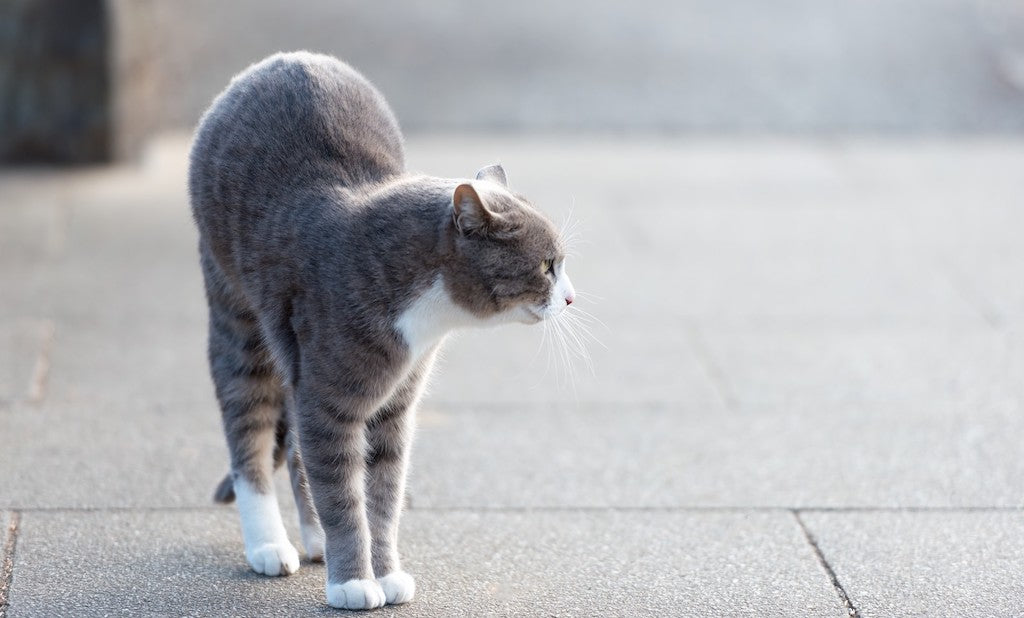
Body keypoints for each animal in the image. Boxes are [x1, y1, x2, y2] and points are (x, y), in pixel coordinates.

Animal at [188, 51, 577, 609]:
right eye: (547, 266)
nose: (571, 297)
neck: (427, 318)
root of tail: (285, 59)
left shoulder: (395, 408)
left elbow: (382, 498)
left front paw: (386, 574)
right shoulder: (329, 401)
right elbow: (343, 495)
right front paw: (352, 584)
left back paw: (314, 542)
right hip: (234, 308)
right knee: (250, 430)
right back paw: (269, 546)